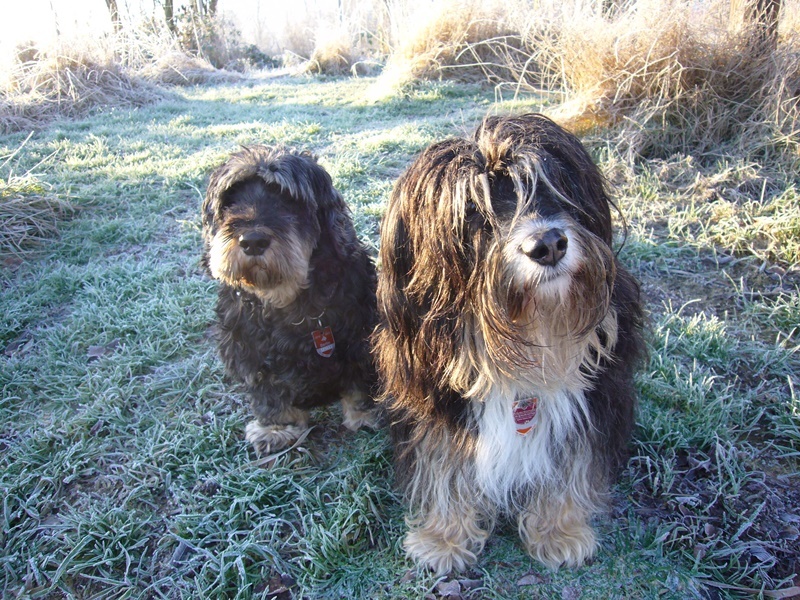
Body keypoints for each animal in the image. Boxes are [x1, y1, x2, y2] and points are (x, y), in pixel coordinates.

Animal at [202, 145, 380, 456]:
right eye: (231, 200)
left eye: (289, 200)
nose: (253, 240)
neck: (287, 298)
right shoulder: (251, 351)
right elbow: (270, 396)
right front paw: (276, 429)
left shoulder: (359, 339)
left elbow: (359, 384)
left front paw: (364, 415)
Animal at [372, 113, 644, 575]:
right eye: (472, 212)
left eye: (549, 186)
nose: (547, 244)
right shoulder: (438, 405)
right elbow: (443, 466)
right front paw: (443, 538)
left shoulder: (593, 398)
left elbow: (569, 463)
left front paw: (558, 531)